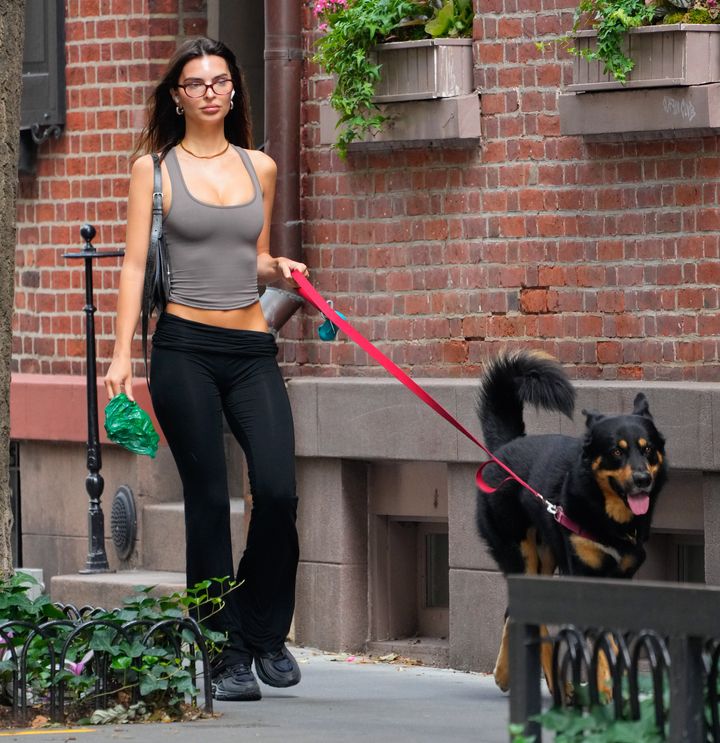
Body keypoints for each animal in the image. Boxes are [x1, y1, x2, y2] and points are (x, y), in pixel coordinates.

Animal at [476, 348, 668, 692]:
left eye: (647, 450)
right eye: (616, 452)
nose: (643, 480)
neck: (608, 519)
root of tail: (504, 448)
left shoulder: (621, 579)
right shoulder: (584, 575)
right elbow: (605, 640)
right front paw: (607, 687)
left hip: (545, 557)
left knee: (514, 614)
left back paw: (511, 675)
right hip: (520, 554)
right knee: (527, 618)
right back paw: (548, 684)